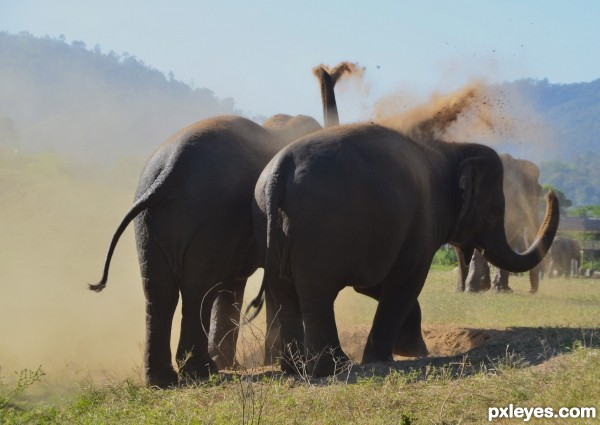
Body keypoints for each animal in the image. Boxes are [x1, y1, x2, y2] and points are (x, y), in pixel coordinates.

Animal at [86, 63, 354, 388]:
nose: (327, 70)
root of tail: (171, 168)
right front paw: (263, 361)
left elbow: (234, 283)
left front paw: (236, 363)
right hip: (209, 214)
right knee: (197, 288)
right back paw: (200, 371)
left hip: (151, 221)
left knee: (159, 290)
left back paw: (165, 379)